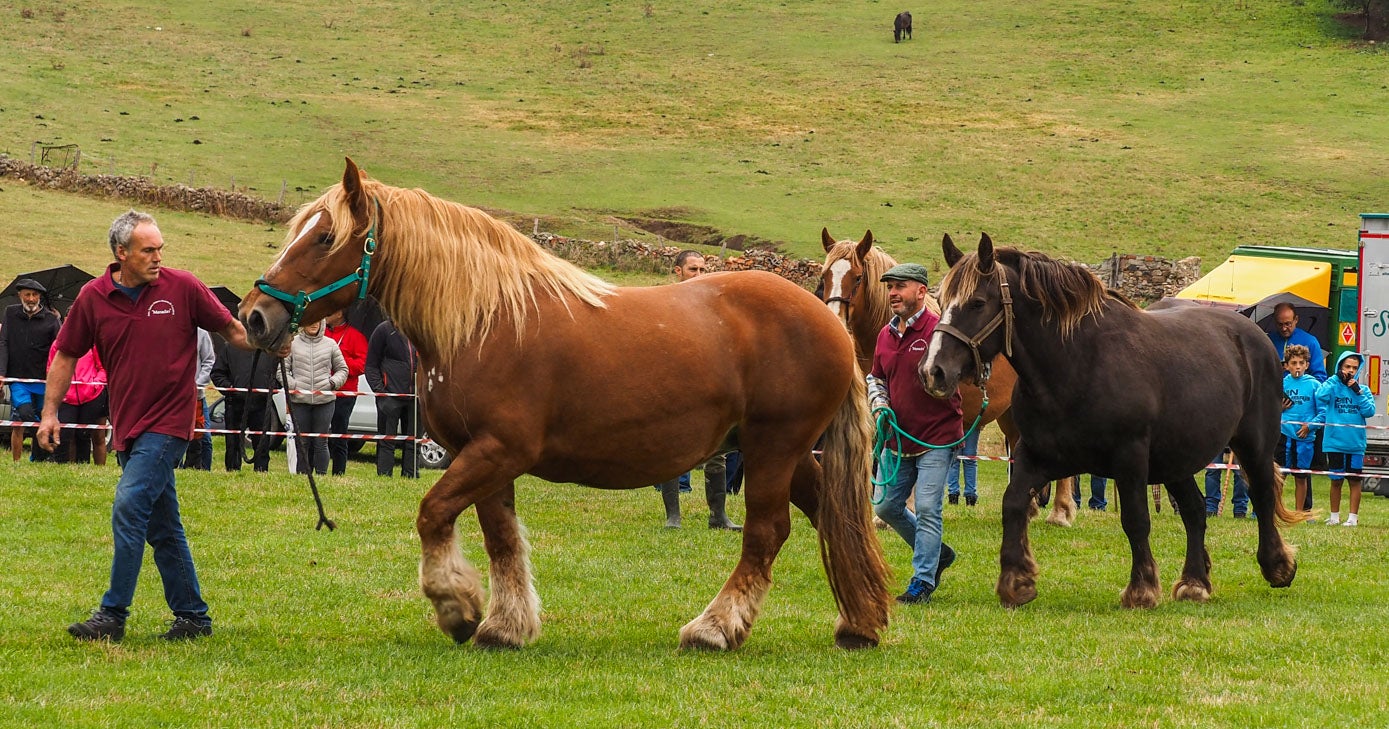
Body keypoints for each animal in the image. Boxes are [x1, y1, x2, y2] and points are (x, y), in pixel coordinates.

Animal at [238, 157, 888, 647]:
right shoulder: (482, 456)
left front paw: (458, 607)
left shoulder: (499, 450)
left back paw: (714, 628)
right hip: (779, 451)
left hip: (772, 447)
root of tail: (827, 323)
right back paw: (859, 622)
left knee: (766, 532)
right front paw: (505, 625)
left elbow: (432, 512)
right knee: (828, 513)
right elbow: (499, 536)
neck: (486, 320)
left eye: (325, 237)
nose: (256, 315)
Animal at [916, 233, 1305, 608]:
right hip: (1175, 459)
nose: (933, 371)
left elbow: (1135, 520)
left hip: (1253, 444)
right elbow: (1012, 504)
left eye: (977, 303)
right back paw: (1195, 582)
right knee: (1195, 511)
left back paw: (1277, 566)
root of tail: (1253, 334)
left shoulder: (1129, 458)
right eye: (942, 300)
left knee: (1261, 494)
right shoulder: (1036, 455)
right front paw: (1017, 582)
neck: (1075, 365)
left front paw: (1141, 589)